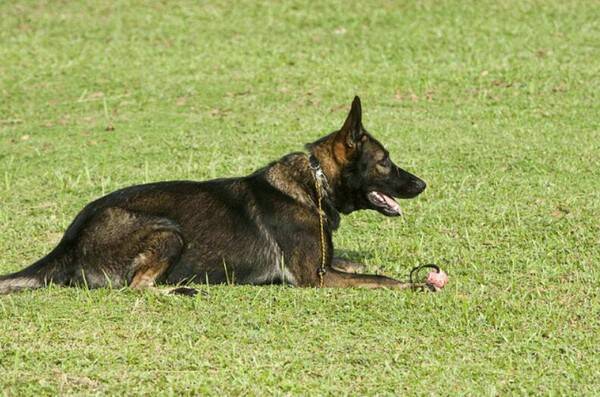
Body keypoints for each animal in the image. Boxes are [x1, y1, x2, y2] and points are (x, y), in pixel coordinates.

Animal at [0, 96, 448, 294]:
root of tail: (70, 238)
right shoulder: (315, 278)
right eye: (385, 162)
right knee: (136, 287)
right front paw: (418, 285)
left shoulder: (328, 264)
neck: (314, 184)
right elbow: (382, 279)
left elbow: (360, 264)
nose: (423, 184)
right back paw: (181, 289)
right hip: (169, 232)